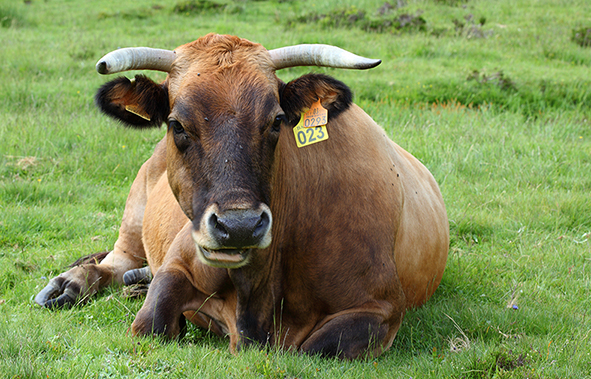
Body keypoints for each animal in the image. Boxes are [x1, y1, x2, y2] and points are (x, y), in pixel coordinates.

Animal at [35, 34, 448, 360]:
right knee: (114, 262)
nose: (239, 227)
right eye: (177, 125)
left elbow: (316, 348)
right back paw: (70, 285)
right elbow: (152, 322)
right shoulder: (179, 263)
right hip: (134, 217)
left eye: (277, 120)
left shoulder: (381, 308)